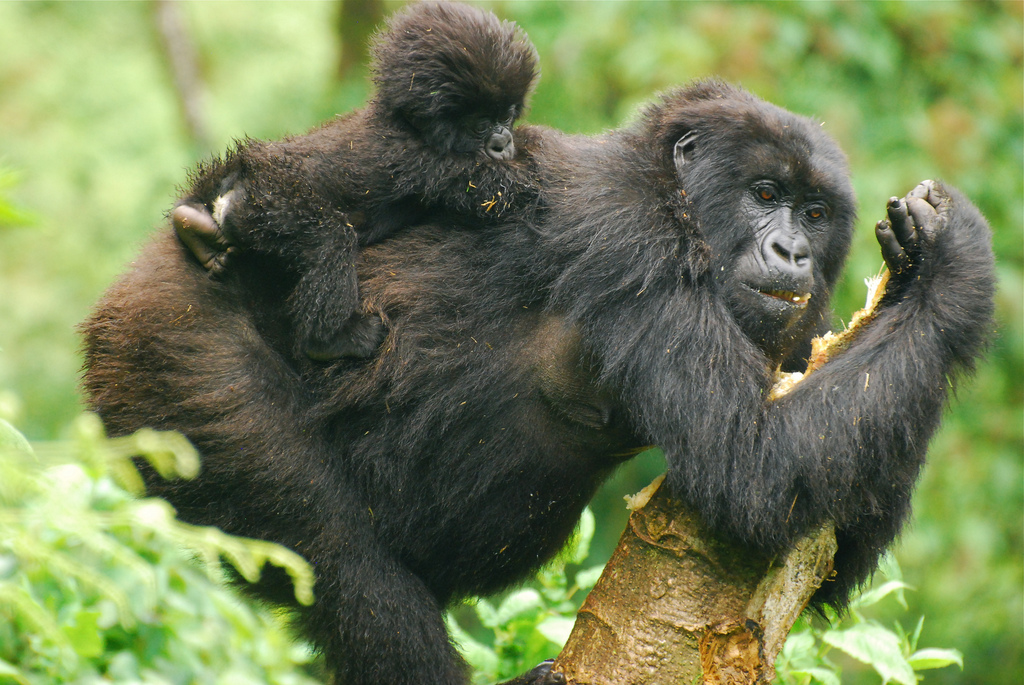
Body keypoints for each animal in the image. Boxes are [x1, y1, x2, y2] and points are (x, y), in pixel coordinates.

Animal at [83, 81, 995, 683]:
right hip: (164, 344)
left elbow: (828, 535)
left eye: (814, 213)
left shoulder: (799, 330)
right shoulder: (632, 227)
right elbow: (753, 469)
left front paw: (918, 269)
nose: (792, 253)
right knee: (342, 561)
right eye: (765, 193)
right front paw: (960, 264)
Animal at [174, 1, 544, 358]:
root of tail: (238, 188)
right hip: (267, 202)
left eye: (506, 117)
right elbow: (502, 190)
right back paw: (327, 341)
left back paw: (192, 223)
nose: (503, 142)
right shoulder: (422, 160)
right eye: (481, 125)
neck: (405, 123)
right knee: (330, 240)